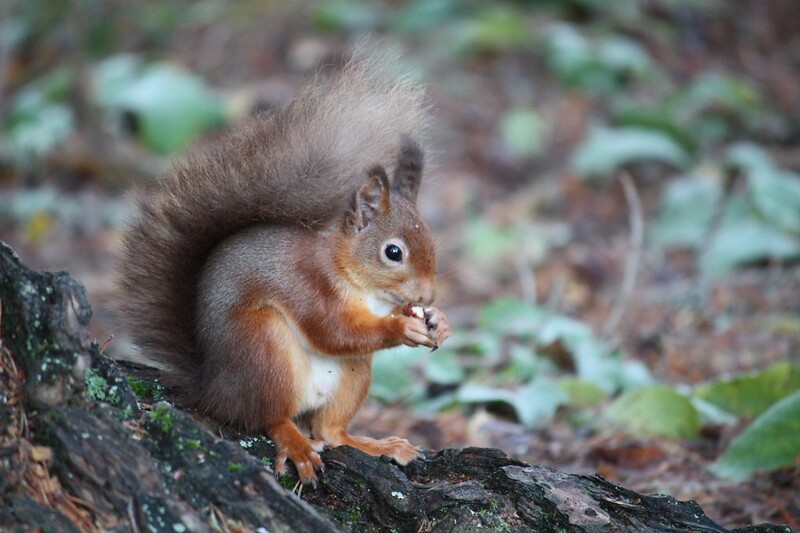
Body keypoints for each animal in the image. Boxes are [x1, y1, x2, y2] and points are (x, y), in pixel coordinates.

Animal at [119, 54, 456, 482]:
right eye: (393, 252)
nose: (428, 294)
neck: (360, 282)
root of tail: (212, 388)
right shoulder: (309, 284)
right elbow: (334, 331)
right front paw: (400, 327)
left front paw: (439, 321)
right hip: (263, 346)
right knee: (269, 417)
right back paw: (295, 443)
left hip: (353, 373)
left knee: (329, 430)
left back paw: (379, 445)